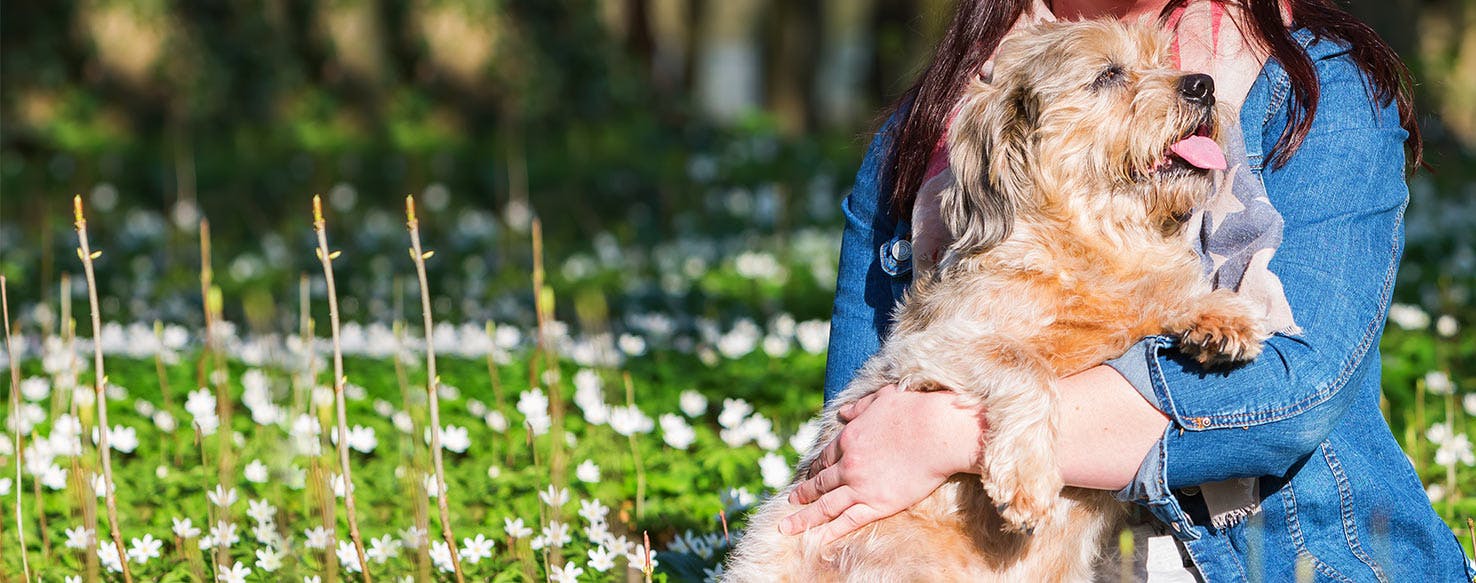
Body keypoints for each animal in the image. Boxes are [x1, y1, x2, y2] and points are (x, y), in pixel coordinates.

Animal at [723, 19, 1269, 583]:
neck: (1092, 242)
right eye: (1108, 74)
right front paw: (1028, 478)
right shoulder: (926, 351)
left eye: (1165, 61)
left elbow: (1166, 292)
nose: (1202, 84)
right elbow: (1026, 364)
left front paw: (1222, 314)